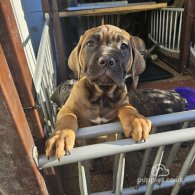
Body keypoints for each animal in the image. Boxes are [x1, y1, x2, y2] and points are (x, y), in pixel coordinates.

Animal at [45, 24, 151, 158]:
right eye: (90, 43)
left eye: (124, 46)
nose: (107, 60)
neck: (102, 94)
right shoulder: (66, 109)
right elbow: (67, 117)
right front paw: (60, 137)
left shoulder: (121, 105)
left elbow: (127, 107)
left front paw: (137, 120)